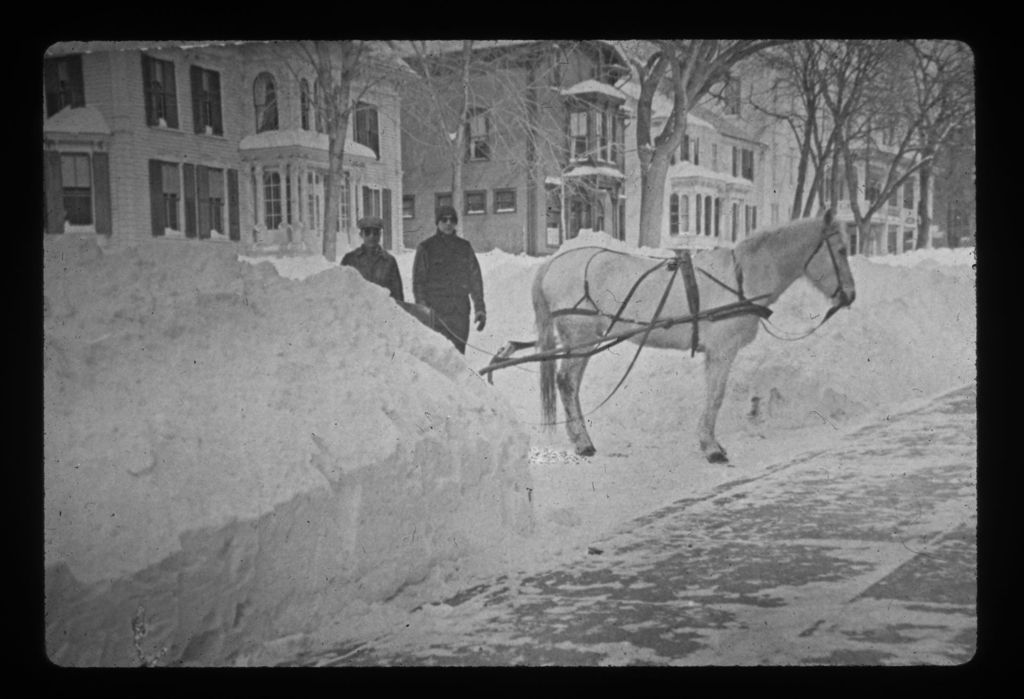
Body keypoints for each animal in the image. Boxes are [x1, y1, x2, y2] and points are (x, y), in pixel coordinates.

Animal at [528, 204, 856, 462]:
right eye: (841, 250)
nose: (850, 296)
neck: (742, 278)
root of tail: (552, 264)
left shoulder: (715, 352)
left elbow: (712, 395)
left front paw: (709, 442)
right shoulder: (722, 351)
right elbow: (716, 396)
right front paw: (711, 447)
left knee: (569, 385)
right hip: (581, 338)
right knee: (567, 383)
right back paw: (583, 442)